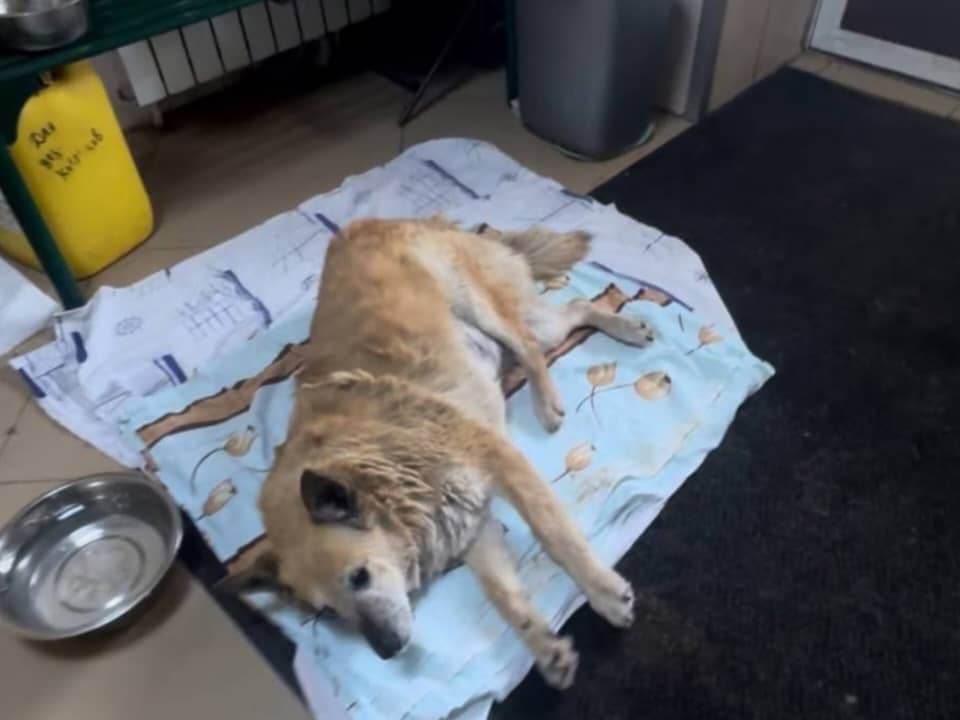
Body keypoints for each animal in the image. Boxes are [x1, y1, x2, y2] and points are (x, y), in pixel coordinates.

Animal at [224, 216, 655, 688]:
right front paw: (545, 648)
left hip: (476, 301)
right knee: (571, 311)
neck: (384, 466)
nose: (388, 651)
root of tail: (375, 222)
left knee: (528, 340)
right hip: (525, 326)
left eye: (359, 577)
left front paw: (604, 593)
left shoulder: (501, 463)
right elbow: (503, 595)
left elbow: (556, 537)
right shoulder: (467, 522)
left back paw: (553, 396)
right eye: (329, 614)